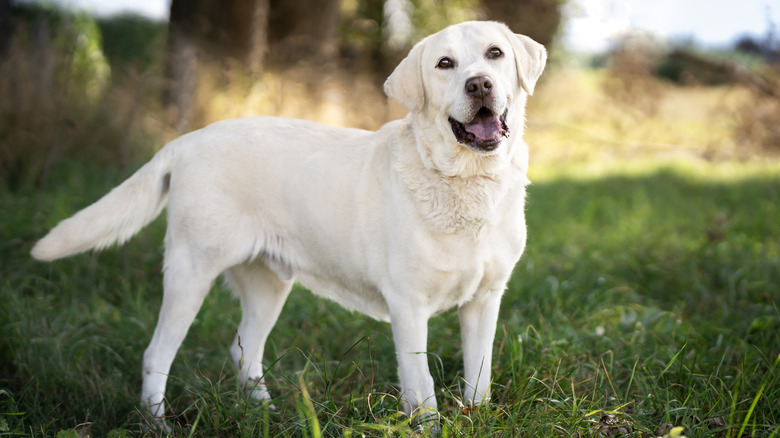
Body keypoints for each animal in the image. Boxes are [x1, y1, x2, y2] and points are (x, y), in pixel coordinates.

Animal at [30, 21, 544, 428]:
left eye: (495, 54)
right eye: (444, 64)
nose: (479, 85)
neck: (466, 183)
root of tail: (186, 140)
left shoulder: (485, 299)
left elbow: (479, 379)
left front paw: (476, 418)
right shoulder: (408, 307)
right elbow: (422, 386)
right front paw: (431, 426)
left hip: (268, 284)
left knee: (244, 352)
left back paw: (263, 414)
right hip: (190, 272)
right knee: (157, 354)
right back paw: (158, 425)